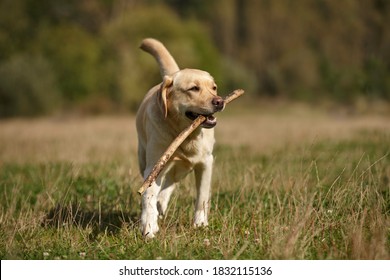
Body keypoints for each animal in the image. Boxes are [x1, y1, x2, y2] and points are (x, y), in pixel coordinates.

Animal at [136, 38, 222, 237]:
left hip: (181, 168)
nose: (220, 101)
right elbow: (148, 195)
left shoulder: (206, 163)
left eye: (213, 88)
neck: (185, 134)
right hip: (144, 158)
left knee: (170, 183)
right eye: (194, 88)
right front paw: (149, 226)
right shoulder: (154, 166)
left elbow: (202, 197)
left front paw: (200, 224)